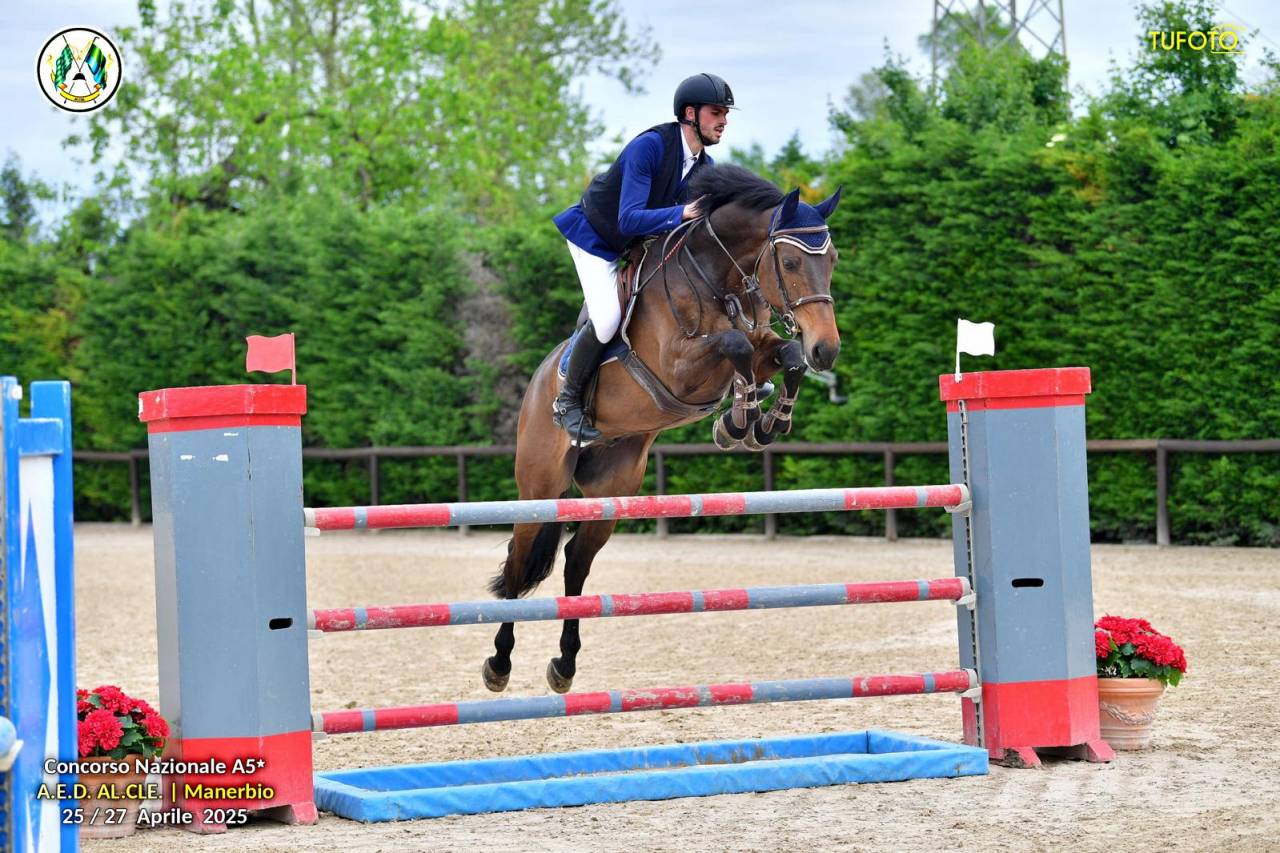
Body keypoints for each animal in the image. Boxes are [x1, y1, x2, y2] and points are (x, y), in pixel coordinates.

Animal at [483, 164, 843, 694]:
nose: (828, 350)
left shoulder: (760, 345)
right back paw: (499, 663)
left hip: (610, 489)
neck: (718, 276)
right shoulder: (679, 367)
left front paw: (759, 422)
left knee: (576, 563)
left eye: (832, 259)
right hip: (539, 485)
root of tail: (537, 384)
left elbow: (784, 355)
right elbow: (735, 345)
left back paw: (564, 665)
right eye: (793, 262)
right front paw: (739, 418)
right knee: (517, 561)